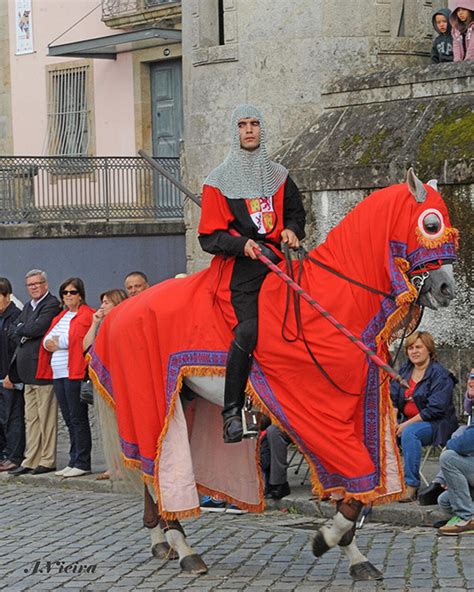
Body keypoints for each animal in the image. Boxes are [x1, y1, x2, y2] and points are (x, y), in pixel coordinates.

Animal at [88, 169, 456, 580]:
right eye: (431, 224)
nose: (447, 288)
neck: (326, 303)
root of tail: (119, 312)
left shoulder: (358, 408)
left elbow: (360, 490)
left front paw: (353, 554)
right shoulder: (311, 413)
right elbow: (354, 477)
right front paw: (325, 539)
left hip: (181, 400)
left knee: (150, 474)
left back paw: (160, 541)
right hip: (152, 404)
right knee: (157, 472)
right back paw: (182, 546)